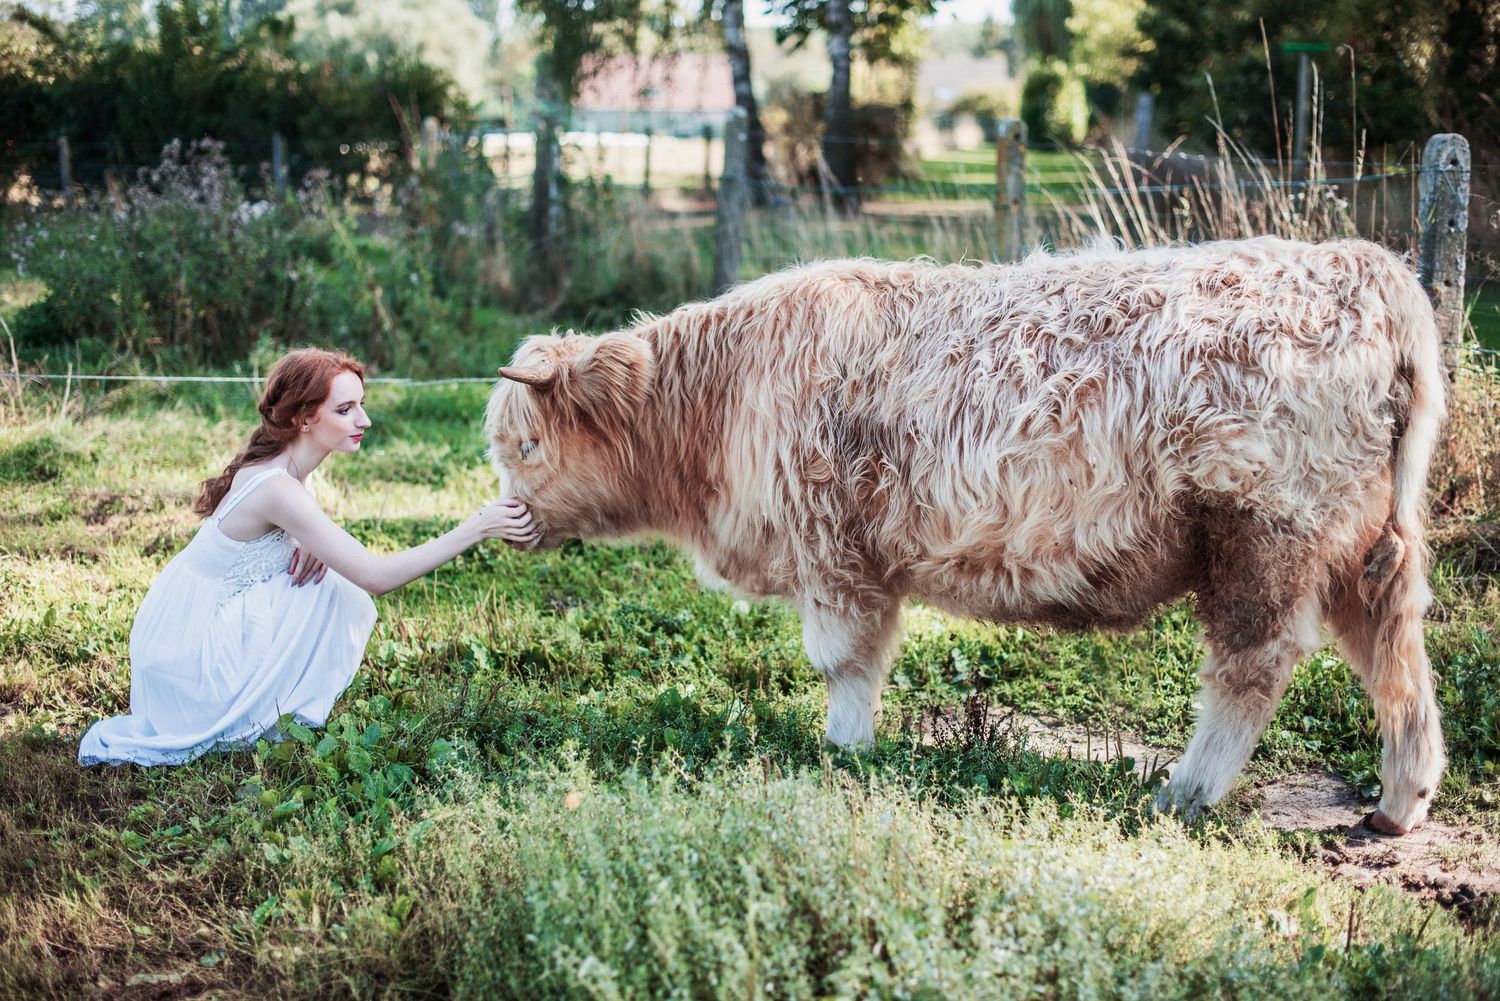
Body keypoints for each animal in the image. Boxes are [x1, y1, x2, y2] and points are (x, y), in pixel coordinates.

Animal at [485, 237, 1447, 835]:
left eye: (525, 446)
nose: (507, 523)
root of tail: (1361, 265)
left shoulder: (833, 550)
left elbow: (844, 662)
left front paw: (843, 751)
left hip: (1264, 533)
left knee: (1255, 663)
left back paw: (1186, 791)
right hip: (1358, 548)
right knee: (1396, 653)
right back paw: (1400, 802)